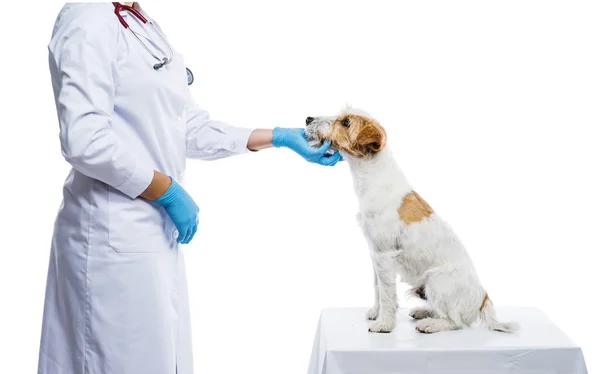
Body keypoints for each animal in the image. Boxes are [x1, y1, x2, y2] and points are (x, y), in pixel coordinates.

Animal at [308, 107, 516, 334]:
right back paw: (423, 312)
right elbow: (378, 287)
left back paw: (430, 324)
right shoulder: (376, 254)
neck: (374, 178)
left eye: (346, 122)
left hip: (436, 281)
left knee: (455, 322)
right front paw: (376, 313)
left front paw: (383, 324)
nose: (308, 118)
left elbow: (387, 292)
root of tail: (483, 299)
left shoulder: (384, 255)